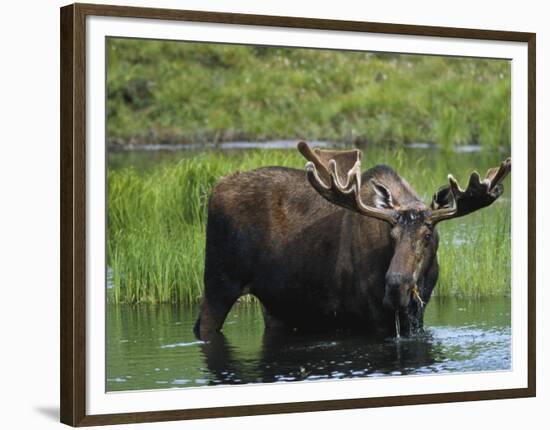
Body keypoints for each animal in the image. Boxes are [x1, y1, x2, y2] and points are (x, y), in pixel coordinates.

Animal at [195, 141, 512, 340]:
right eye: (391, 235)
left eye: (427, 235)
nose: (395, 288)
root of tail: (214, 190)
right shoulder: (370, 318)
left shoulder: (416, 314)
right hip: (219, 282)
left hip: (277, 304)